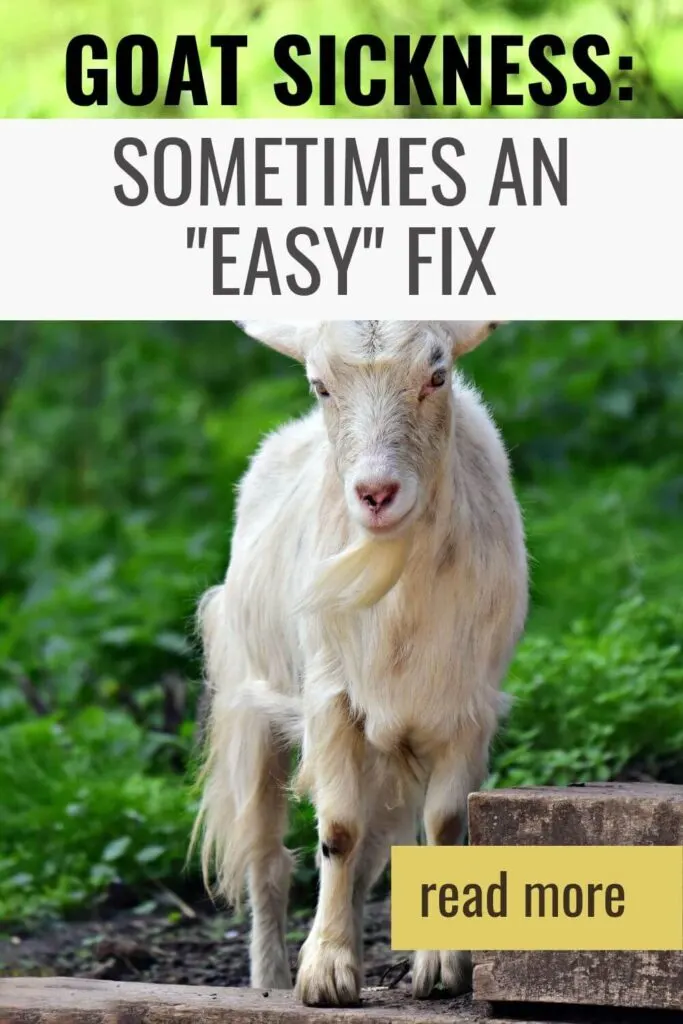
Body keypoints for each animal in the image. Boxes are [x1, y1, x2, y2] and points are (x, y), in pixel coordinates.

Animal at [191, 320, 528, 1006]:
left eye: (437, 374)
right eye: (320, 384)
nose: (376, 494)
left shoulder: (467, 708)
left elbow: (445, 823)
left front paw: (441, 968)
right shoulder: (330, 698)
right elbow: (338, 831)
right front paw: (324, 973)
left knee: (372, 851)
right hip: (253, 705)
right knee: (268, 860)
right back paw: (269, 978)